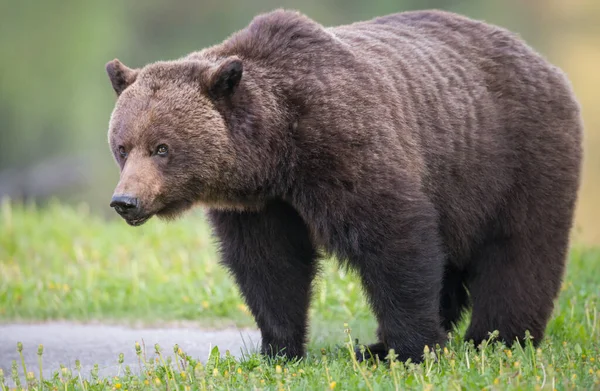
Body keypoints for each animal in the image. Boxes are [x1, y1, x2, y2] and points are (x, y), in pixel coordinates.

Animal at [103, 9, 580, 364]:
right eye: (123, 147)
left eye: (162, 148)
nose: (125, 201)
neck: (276, 153)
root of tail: (543, 60)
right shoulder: (262, 206)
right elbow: (270, 265)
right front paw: (279, 348)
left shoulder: (344, 145)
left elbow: (394, 239)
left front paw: (414, 349)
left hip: (514, 156)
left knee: (519, 251)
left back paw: (497, 339)